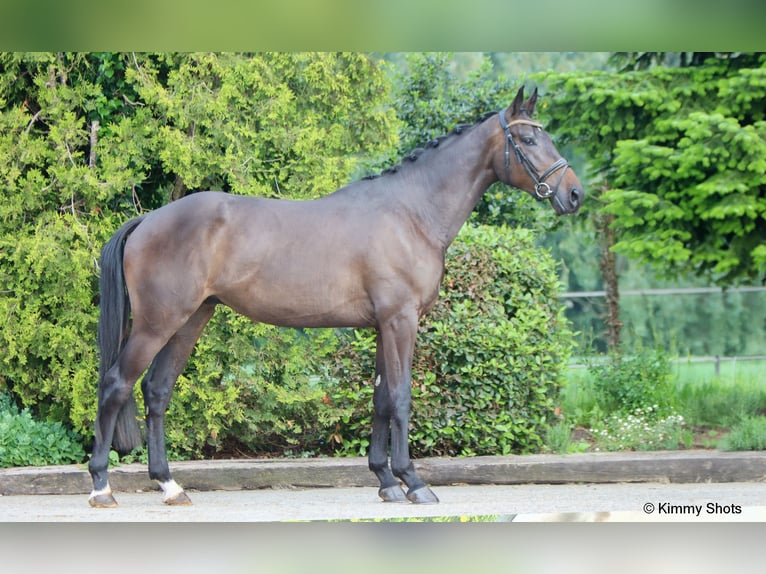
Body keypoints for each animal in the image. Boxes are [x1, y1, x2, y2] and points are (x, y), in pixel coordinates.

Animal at [88, 86, 584, 508]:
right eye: (527, 138)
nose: (574, 193)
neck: (411, 212)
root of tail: (149, 219)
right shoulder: (401, 321)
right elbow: (401, 396)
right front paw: (414, 482)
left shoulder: (383, 326)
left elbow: (381, 400)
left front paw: (386, 481)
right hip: (158, 322)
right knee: (116, 385)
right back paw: (101, 487)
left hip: (191, 319)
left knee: (156, 391)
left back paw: (170, 485)